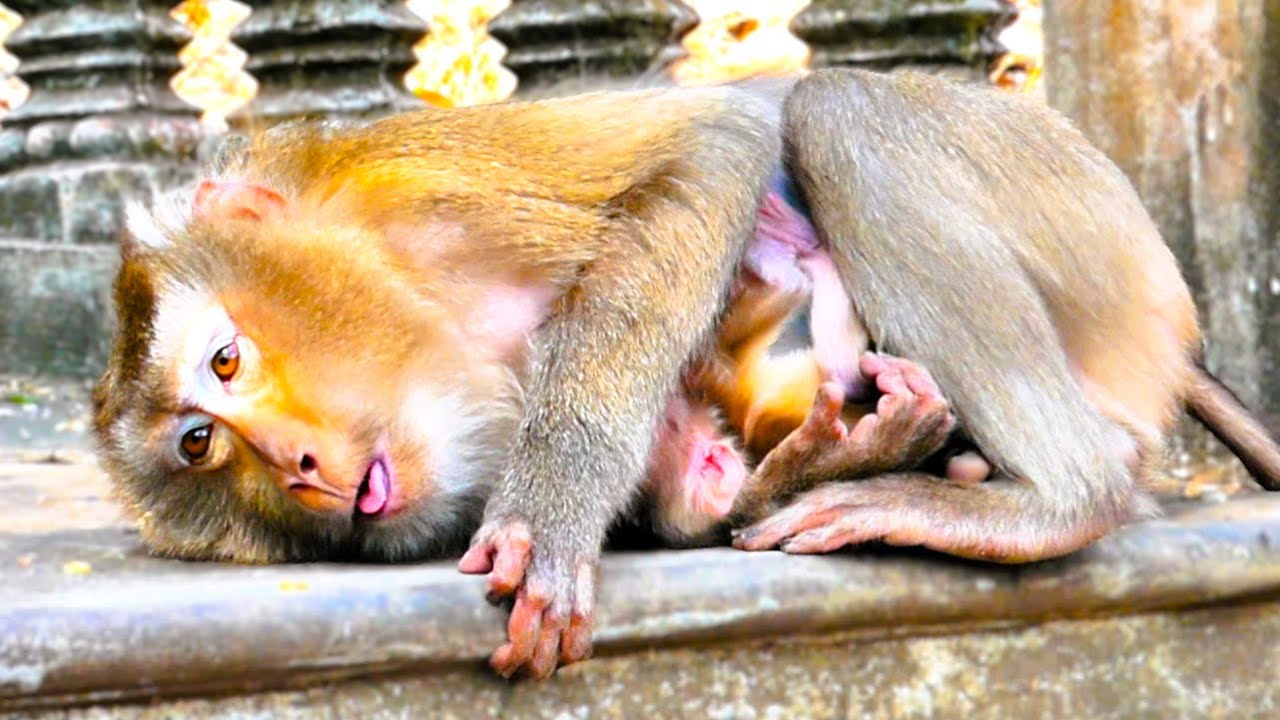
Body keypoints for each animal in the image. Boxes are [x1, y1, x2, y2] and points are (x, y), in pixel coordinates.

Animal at [92, 69, 1280, 681]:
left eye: (226, 361)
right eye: (201, 448)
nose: (296, 466)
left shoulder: (421, 184)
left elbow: (719, 137)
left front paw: (554, 503)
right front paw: (809, 456)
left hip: (1084, 226)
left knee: (838, 110)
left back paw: (1056, 497)